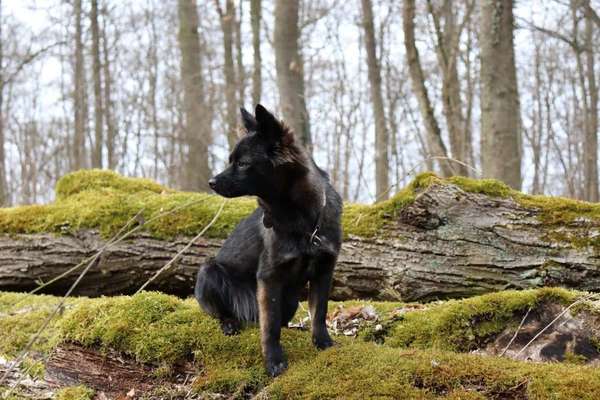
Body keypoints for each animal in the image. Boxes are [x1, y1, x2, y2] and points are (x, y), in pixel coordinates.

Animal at [193, 104, 340, 376]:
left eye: (242, 163)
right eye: (231, 160)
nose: (211, 182)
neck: (303, 221)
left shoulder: (324, 272)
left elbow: (319, 313)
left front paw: (323, 343)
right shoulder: (269, 278)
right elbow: (270, 326)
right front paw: (274, 361)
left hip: (290, 300)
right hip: (209, 271)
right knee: (222, 312)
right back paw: (229, 323)